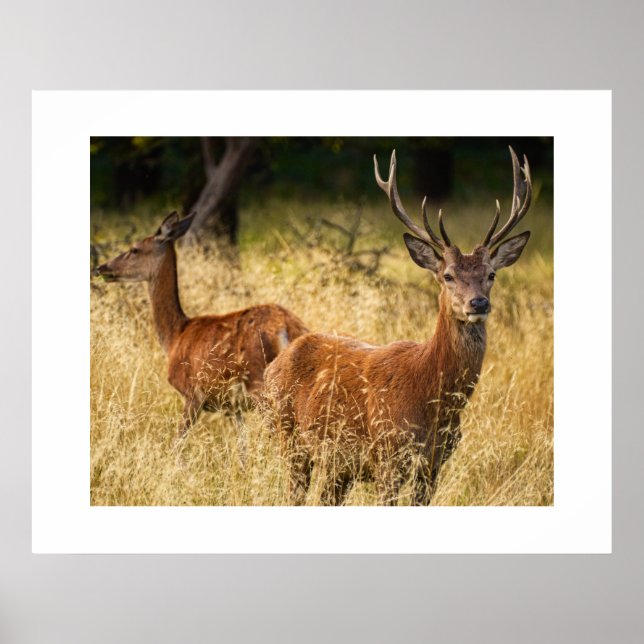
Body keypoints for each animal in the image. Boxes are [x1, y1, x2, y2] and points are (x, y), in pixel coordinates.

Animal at [95, 211, 308, 439]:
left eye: (134, 249)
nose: (101, 267)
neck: (175, 336)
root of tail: (286, 327)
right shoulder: (233, 408)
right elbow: (242, 444)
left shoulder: (192, 393)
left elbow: (178, 441)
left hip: (260, 383)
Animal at [264, 147, 532, 506]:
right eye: (447, 276)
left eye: (491, 274)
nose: (478, 303)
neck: (433, 401)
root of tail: (275, 363)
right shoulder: (387, 455)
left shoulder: (434, 464)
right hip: (288, 437)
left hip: (337, 465)